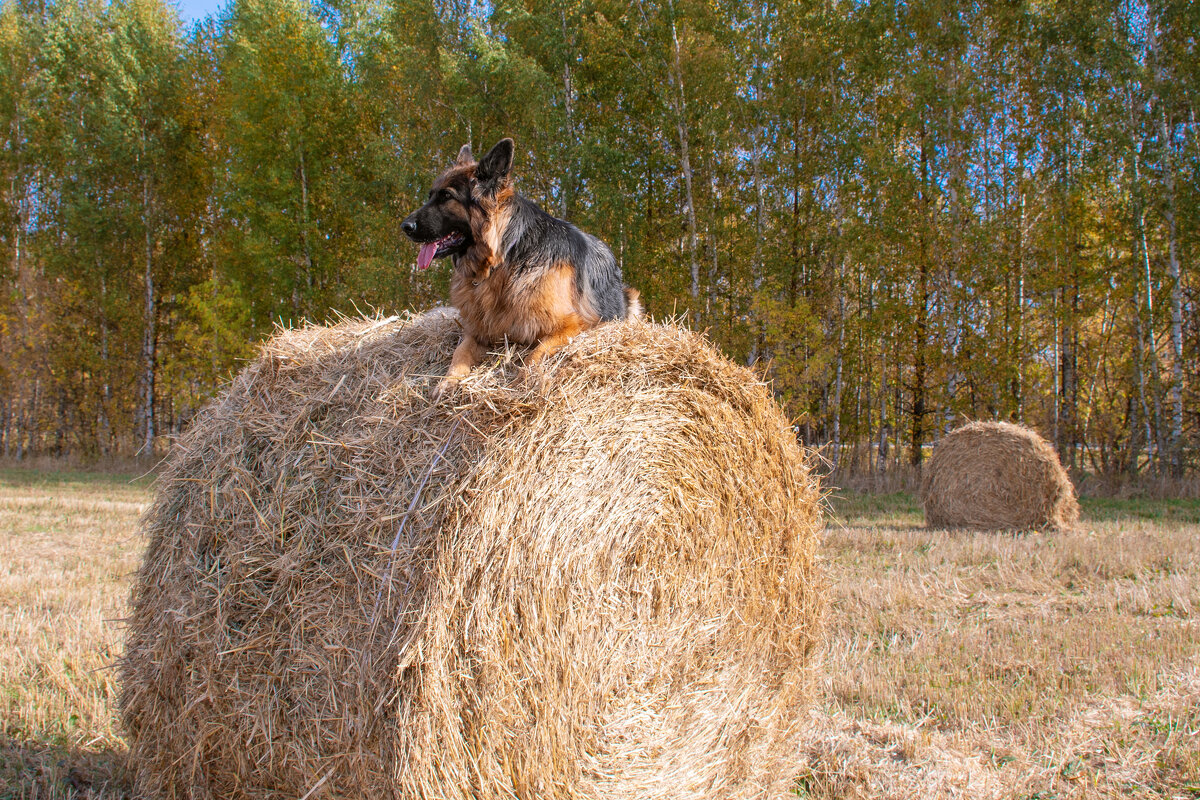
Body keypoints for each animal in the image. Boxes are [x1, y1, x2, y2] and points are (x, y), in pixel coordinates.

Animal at [400, 140, 648, 398]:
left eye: (447, 196)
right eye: (430, 196)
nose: (404, 226)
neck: (505, 260)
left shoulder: (572, 325)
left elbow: (534, 355)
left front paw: (525, 382)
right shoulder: (477, 331)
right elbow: (459, 354)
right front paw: (447, 382)